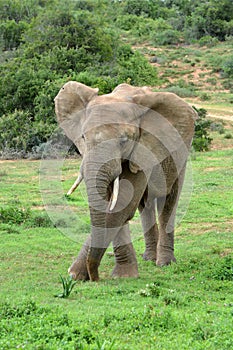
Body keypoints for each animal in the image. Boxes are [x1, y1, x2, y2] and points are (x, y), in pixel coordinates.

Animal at [54, 81, 197, 282]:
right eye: (83, 137)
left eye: (124, 140)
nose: (95, 277)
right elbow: (113, 205)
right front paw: (76, 274)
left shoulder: (142, 149)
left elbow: (122, 205)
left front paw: (123, 276)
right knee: (145, 205)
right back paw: (148, 258)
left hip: (180, 156)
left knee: (168, 201)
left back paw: (164, 263)